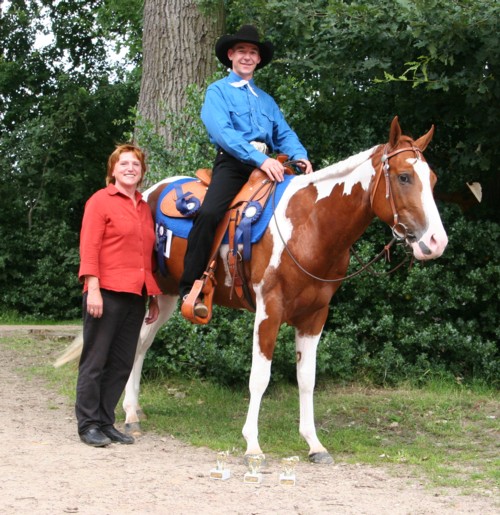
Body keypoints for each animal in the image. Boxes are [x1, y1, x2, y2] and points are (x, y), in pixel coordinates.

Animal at [56, 117, 448, 464]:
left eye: (433, 179)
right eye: (404, 176)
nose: (436, 242)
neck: (309, 224)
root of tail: (148, 193)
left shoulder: (315, 317)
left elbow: (307, 379)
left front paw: (314, 444)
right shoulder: (269, 310)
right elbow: (260, 377)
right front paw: (253, 445)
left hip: (164, 300)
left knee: (140, 345)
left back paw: (134, 412)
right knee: (136, 344)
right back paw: (127, 415)